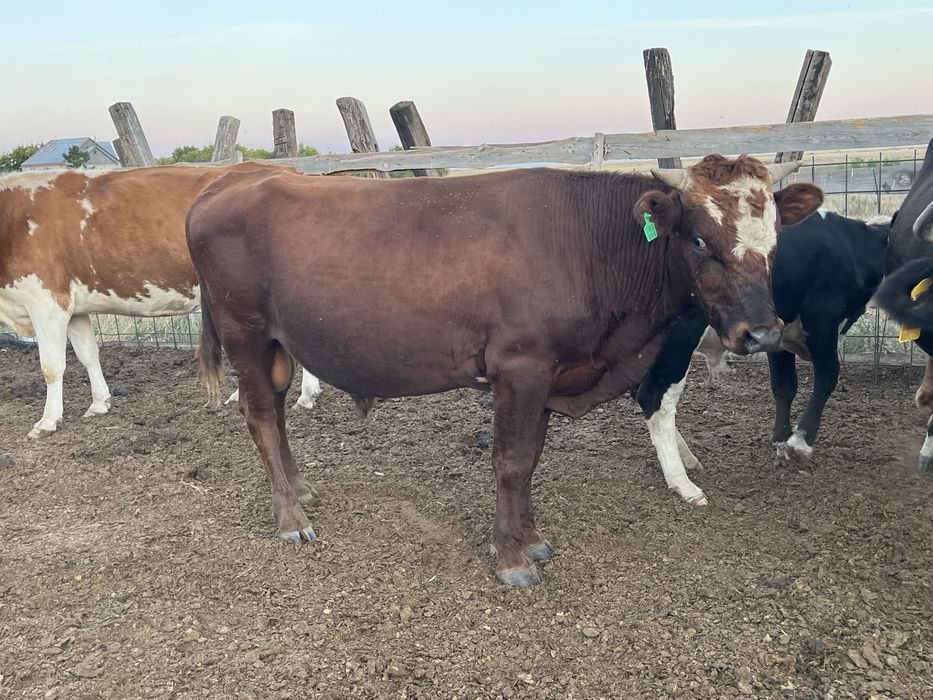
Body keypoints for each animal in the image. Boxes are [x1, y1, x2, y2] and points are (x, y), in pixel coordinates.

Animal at [0, 164, 322, 439]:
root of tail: (288, 170)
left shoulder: (45, 303)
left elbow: (51, 366)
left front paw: (47, 421)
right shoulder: (75, 308)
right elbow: (88, 354)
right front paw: (100, 402)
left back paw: (303, 395)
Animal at [187, 155, 822, 587]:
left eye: (774, 239)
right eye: (698, 238)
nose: (763, 333)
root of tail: (228, 182)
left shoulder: (549, 373)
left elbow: (531, 459)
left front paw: (532, 540)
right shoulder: (520, 366)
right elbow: (512, 462)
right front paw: (511, 556)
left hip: (276, 344)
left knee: (274, 413)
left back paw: (300, 490)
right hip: (245, 333)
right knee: (260, 414)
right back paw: (289, 517)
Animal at [633, 210, 889, 507]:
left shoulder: (779, 333)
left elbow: (784, 385)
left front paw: (782, 440)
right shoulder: (822, 319)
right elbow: (827, 377)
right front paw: (800, 442)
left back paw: (687, 459)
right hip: (678, 337)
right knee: (653, 398)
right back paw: (683, 483)